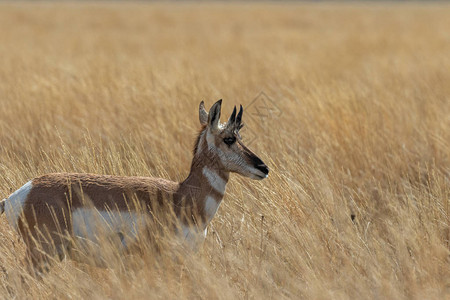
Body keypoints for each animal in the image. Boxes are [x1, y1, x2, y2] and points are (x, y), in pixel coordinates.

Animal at [0, 99, 268, 270]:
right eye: (229, 138)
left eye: (240, 136)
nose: (263, 168)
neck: (180, 195)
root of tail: (22, 192)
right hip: (42, 256)